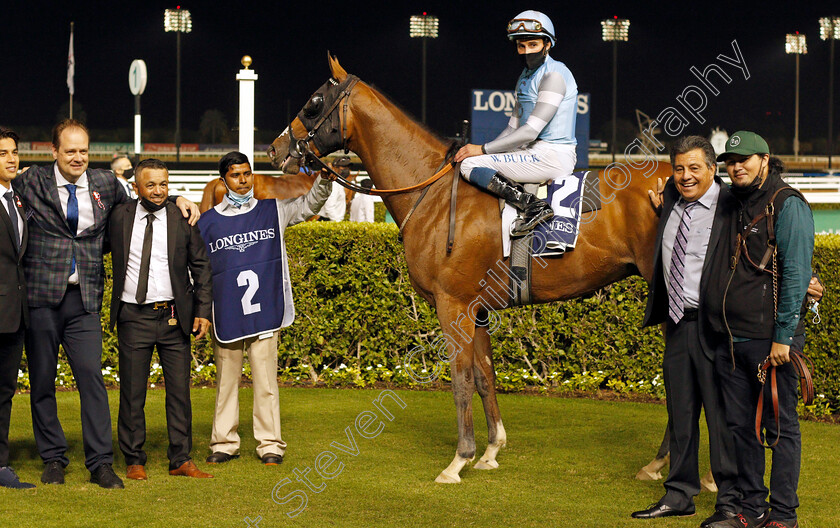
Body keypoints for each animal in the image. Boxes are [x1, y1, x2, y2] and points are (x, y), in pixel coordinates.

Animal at [266, 56, 672, 482]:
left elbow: (460, 380)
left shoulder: (453, 305)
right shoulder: (477, 310)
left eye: (313, 103)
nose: (276, 148)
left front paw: (459, 460)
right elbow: (484, 375)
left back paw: (661, 462)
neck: (432, 192)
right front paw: (491, 450)